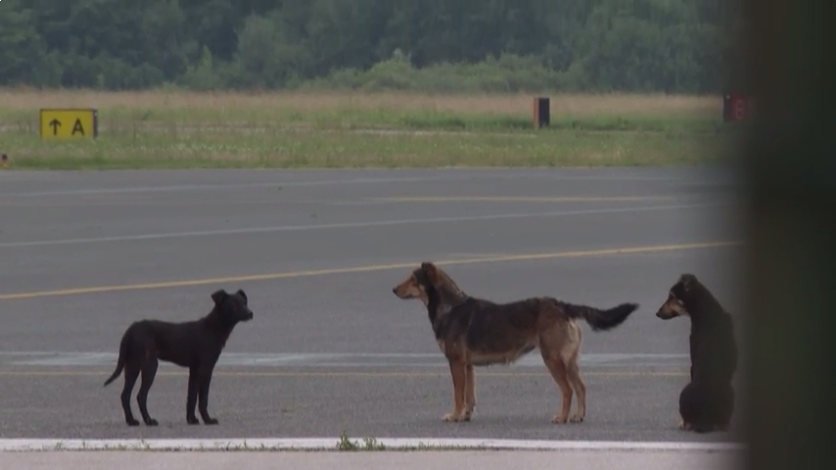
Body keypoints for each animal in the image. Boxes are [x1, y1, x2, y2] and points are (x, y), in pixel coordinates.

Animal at [102, 288, 251, 428]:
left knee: (125, 395)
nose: (251, 313)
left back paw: (131, 421)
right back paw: (149, 420)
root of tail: (131, 330)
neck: (212, 327)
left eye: (245, 302)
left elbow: (191, 396)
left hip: (132, 365)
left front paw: (192, 419)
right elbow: (203, 398)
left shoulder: (194, 370)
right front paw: (208, 420)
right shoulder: (205, 369)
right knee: (141, 395)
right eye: (234, 305)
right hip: (149, 366)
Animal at [394, 262, 640, 424]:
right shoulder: (468, 366)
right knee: (580, 387)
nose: (393, 289)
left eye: (413, 279)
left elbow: (458, 394)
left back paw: (562, 417)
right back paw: (578, 416)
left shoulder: (455, 364)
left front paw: (454, 415)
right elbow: (469, 396)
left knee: (568, 390)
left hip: (552, 359)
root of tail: (561, 305)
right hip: (569, 362)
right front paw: (465, 416)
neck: (451, 307)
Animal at [656, 276, 736, 434]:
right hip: (731, 393)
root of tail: (705, 419)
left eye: (672, 297)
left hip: (683, 394)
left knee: (687, 422)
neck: (705, 308)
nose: (657, 313)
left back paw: (682, 423)